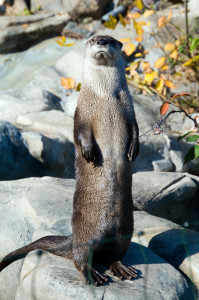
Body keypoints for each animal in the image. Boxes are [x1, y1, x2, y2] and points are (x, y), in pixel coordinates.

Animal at [0, 35, 139, 286]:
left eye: (110, 40)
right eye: (94, 39)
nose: (102, 42)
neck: (104, 97)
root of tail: (73, 237)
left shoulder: (129, 107)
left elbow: (135, 129)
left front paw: (134, 148)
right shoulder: (82, 110)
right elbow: (80, 132)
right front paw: (89, 151)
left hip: (126, 229)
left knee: (114, 254)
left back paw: (121, 268)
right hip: (86, 233)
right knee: (80, 257)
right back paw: (92, 273)